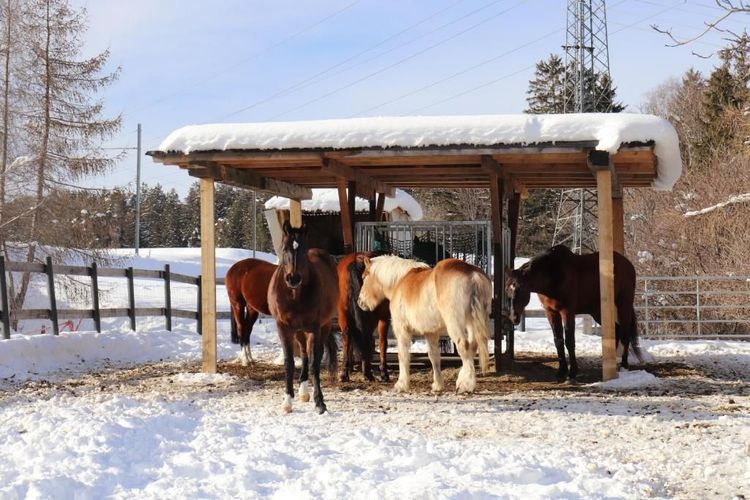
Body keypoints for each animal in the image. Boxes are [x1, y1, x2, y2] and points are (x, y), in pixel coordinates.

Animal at [268, 221, 339, 414]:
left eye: (303, 249)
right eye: (284, 248)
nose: (293, 278)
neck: (294, 295)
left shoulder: (314, 328)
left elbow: (315, 364)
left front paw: (320, 402)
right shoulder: (283, 328)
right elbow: (289, 363)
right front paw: (287, 401)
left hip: (323, 326)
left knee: (314, 356)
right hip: (299, 331)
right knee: (305, 354)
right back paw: (303, 392)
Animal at [337, 252, 391, 383]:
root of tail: (358, 259)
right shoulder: (384, 317)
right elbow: (382, 342)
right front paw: (383, 372)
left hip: (343, 312)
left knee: (347, 337)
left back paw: (345, 373)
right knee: (367, 338)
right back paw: (367, 372)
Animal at [358, 255, 491, 394]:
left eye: (364, 277)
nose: (360, 302)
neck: (399, 280)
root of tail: (472, 274)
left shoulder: (402, 330)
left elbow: (403, 356)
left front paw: (401, 384)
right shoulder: (431, 332)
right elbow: (434, 356)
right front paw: (438, 385)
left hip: (455, 323)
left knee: (464, 347)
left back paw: (466, 385)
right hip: (472, 323)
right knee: (472, 346)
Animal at [505, 245, 647, 381]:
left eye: (521, 288)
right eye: (506, 289)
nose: (513, 316)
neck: (554, 274)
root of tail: (627, 264)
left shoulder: (567, 312)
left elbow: (569, 341)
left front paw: (572, 373)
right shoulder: (551, 312)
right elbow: (558, 341)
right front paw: (561, 372)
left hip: (623, 305)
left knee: (625, 334)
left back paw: (624, 366)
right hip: (599, 311)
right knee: (616, 331)